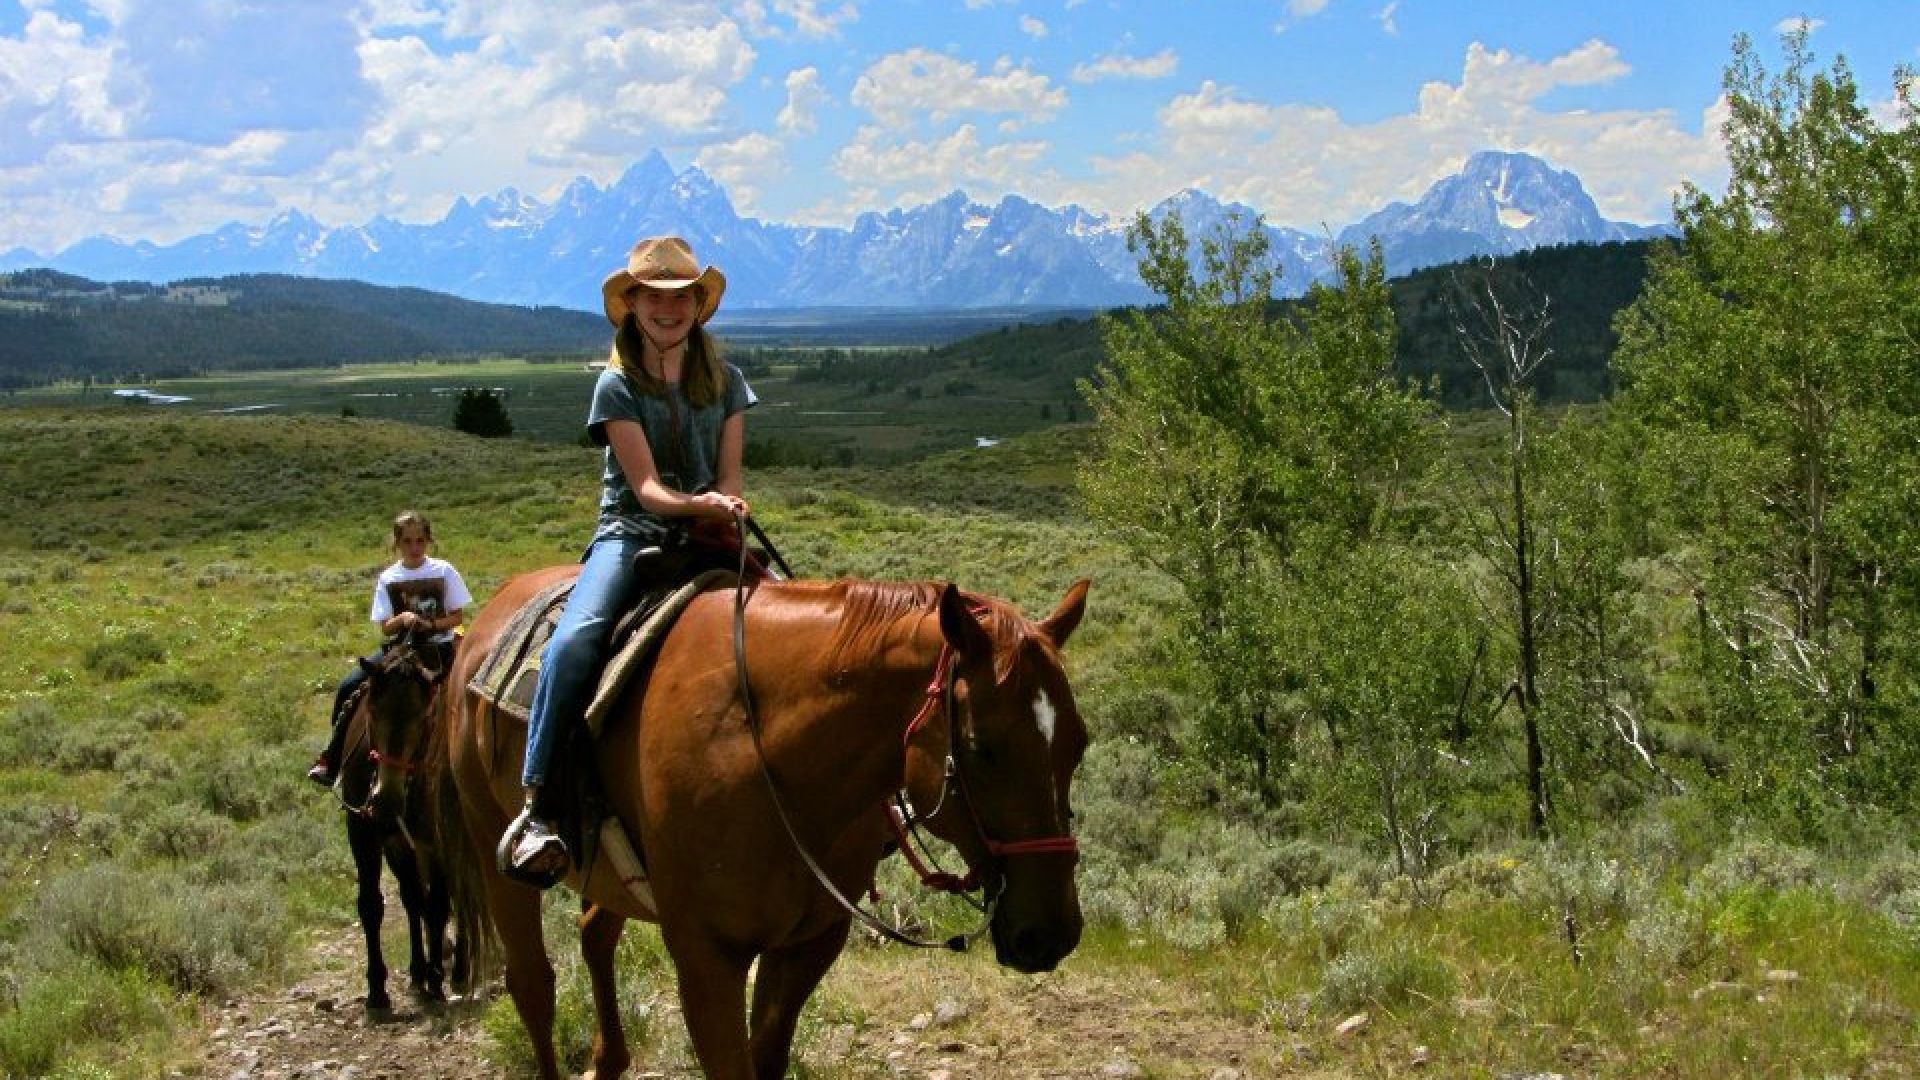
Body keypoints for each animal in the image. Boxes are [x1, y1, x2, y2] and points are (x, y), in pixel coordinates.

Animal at [439, 568, 1098, 1068]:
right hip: (492, 848)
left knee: (594, 933)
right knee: (533, 986)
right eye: (983, 748)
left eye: (1079, 743)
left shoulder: (808, 946)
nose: (1052, 934)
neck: (764, 750)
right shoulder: (707, 958)